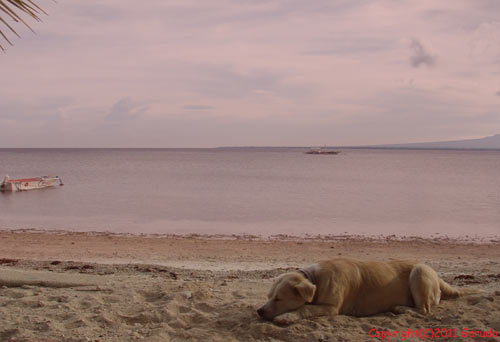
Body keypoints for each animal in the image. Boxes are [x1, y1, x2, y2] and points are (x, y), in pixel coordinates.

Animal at [258, 260, 480, 324]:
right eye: (268, 296)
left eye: (278, 298)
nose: (259, 311)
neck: (316, 280)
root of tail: (438, 276)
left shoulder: (331, 308)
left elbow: (305, 309)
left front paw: (287, 316)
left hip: (419, 271)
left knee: (424, 310)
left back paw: (401, 308)